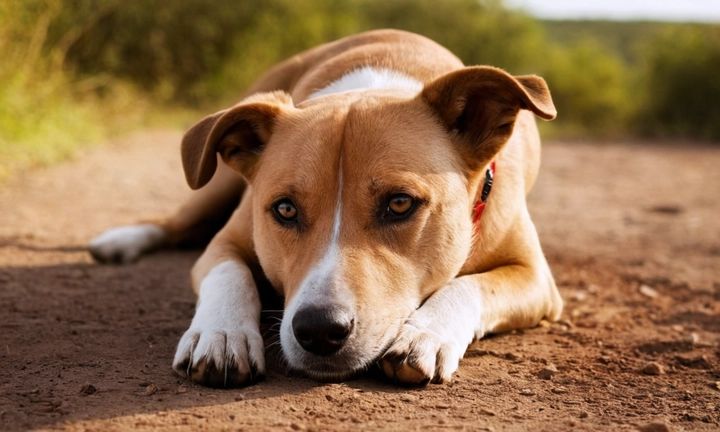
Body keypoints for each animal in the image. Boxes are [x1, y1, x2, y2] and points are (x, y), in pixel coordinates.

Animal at [88, 29, 564, 388]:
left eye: (399, 203)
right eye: (284, 210)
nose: (319, 329)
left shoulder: (536, 279)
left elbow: (470, 286)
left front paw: (424, 334)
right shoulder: (226, 241)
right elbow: (229, 273)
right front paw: (222, 333)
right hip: (215, 179)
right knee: (176, 222)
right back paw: (119, 241)